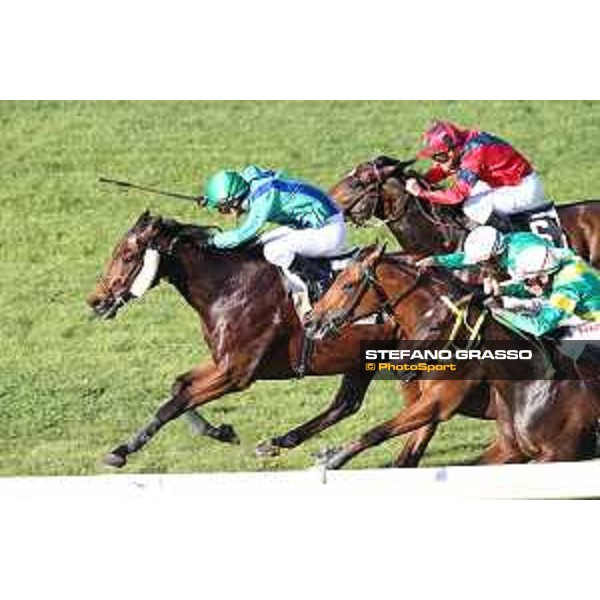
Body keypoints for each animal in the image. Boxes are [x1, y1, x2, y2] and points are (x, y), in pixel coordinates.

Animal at [86, 211, 408, 468]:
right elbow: (178, 387)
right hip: (362, 360)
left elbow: (173, 405)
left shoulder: (235, 374)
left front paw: (121, 450)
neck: (229, 287)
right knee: (346, 404)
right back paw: (281, 442)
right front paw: (221, 432)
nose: (96, 300)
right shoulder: (222, 362)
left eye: (128, 256)